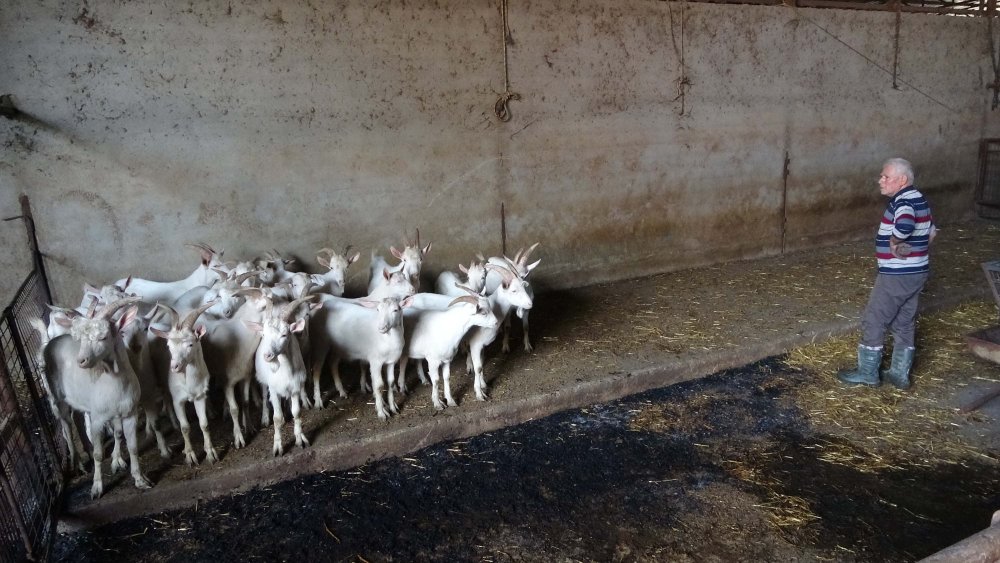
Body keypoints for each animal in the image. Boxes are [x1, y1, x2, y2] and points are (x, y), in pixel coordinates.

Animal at [42, 298, 154, 500]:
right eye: (81, 339)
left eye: (103, 337)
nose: (81, 361)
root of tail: (53, 341)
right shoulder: (97, 419)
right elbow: (99, 454)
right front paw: (96, 488)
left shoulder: (129, 413)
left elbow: (132, 446)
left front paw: (140, 480)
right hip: (57, 395)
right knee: (66, 423)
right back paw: (77, 463)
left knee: (77, 418)